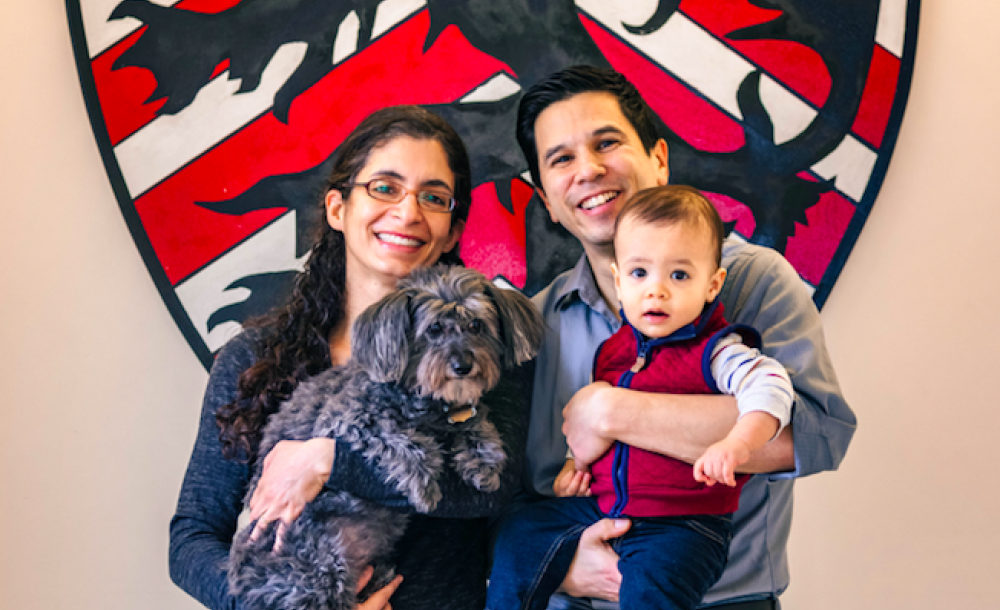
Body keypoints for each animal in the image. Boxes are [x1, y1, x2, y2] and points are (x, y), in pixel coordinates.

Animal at [227, 264, 544, 608]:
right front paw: (424, 487)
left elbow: (475, 423)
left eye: (476, 324)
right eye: (434, 329)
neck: (423, 398)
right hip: (316, 565)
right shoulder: (347, 422)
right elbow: (405, 440)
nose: (463, 365)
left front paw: (483, 461)